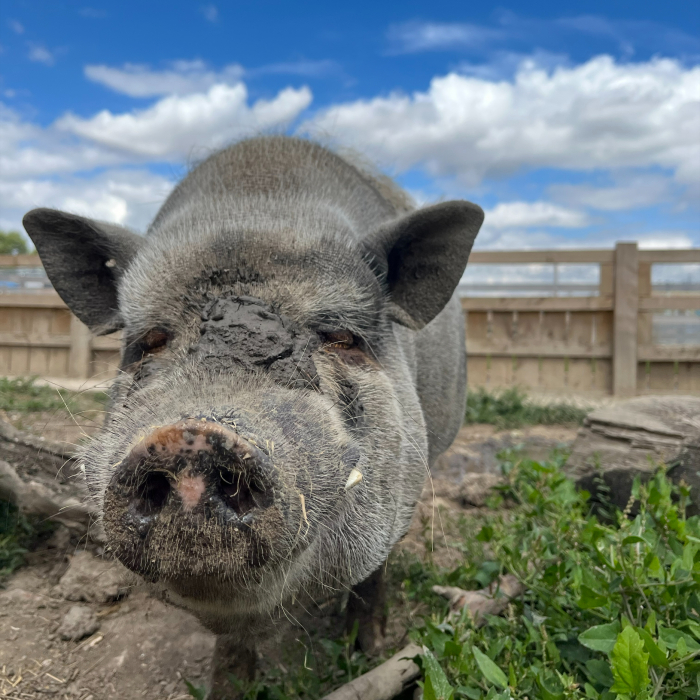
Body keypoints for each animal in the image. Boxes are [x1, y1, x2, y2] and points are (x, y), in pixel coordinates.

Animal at [23, 136, 483, 698]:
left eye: (343, 338)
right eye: (151, 341)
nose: (192, 436)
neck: (258, 208)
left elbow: (375, 570)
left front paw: (367, 650)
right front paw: (229, 687)